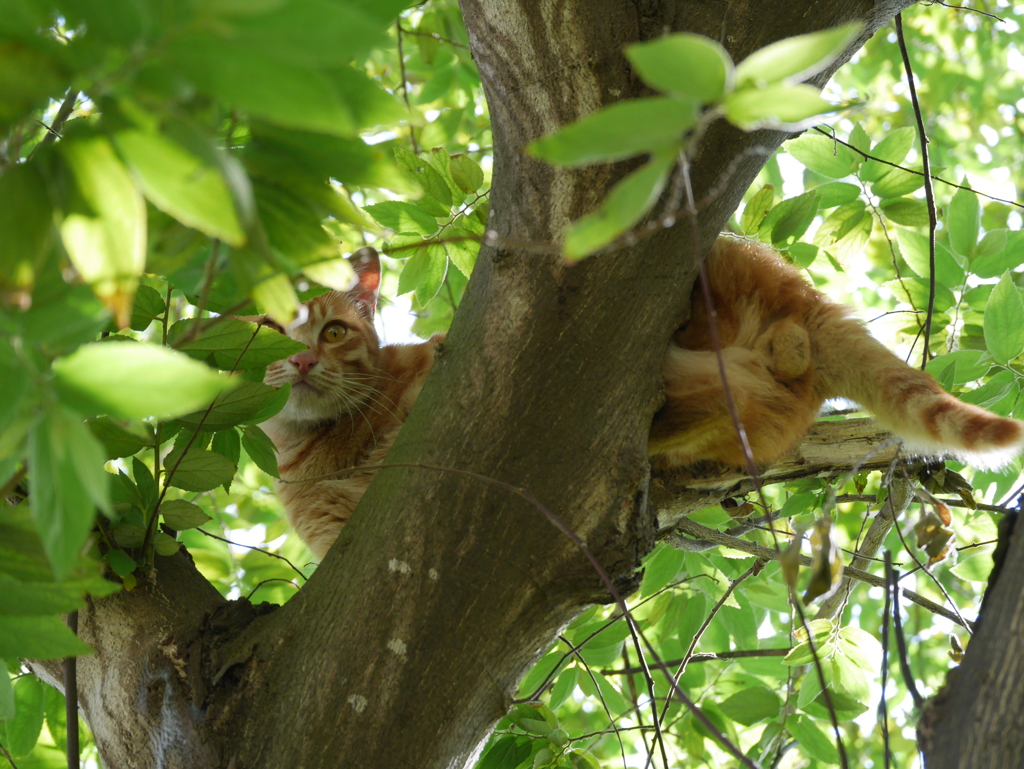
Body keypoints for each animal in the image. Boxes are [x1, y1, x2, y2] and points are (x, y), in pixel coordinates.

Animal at [260, 237, 1024, 557]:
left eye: (332, 331)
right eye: (267, 329)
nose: (298, 360)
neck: (326, 445)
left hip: (712, 270)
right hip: (738, 404)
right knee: (763, 394)